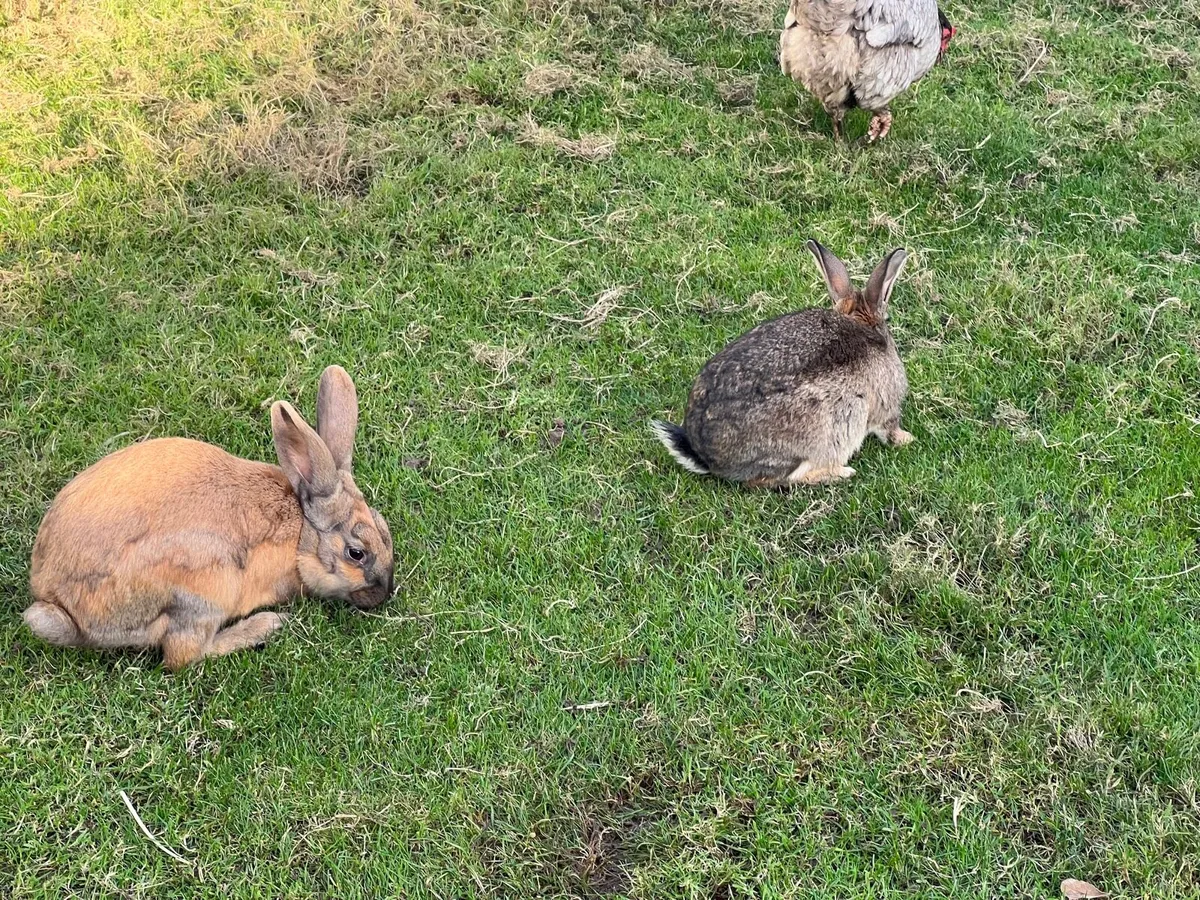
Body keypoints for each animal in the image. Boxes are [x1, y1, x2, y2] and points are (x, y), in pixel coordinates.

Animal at [24, 365, 395, 670]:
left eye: (383, 527)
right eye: (356, 553)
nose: (384, 594)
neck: (301, 535)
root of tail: (62, 607)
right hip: (204, 589)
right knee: (184, 656)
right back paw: (264, 625)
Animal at [651, 240, 914, 488]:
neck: (861, 324)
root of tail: (709, 457)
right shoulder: (885, 407)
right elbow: (889, 429)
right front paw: (906, 439)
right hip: (829, 425)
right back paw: (839, 473)